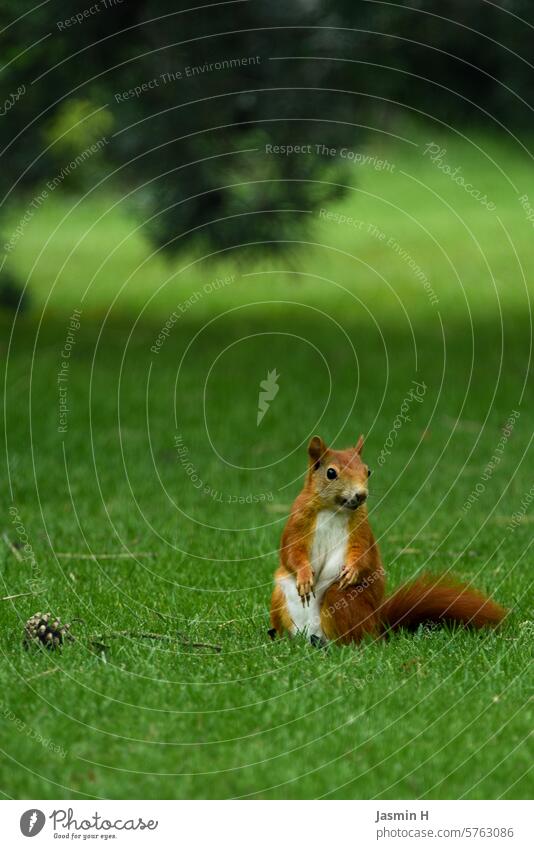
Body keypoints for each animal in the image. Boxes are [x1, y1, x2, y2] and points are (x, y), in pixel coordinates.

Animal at [270, 438, 508, 644]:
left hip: (341, 598)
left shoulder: (362, 530)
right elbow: (290, 552)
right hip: (279, 596)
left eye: (367, 470)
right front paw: (304, 576)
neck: (334, 509)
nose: (361, 495)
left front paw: (353, 570)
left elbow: (363, 554)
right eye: (331, 472)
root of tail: (376, 627)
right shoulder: (297, 521)